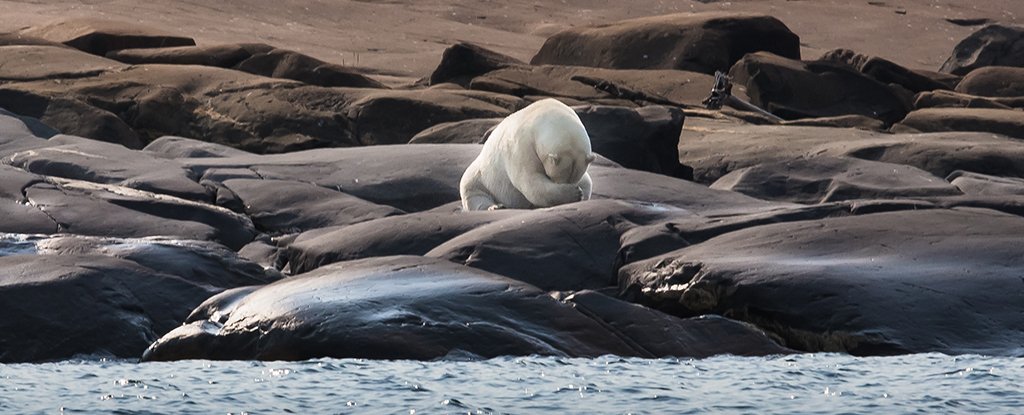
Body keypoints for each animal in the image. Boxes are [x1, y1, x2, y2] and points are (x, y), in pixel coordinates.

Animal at [460, 97, 598, 210]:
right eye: (554, 178)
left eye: (574, 178)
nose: (567, 186)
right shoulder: (522, 146)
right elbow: (530, 181)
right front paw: (574, 193)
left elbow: (586, 181)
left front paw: (578, 192)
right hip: (482, 177)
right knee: (473, 192)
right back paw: (495, 206)